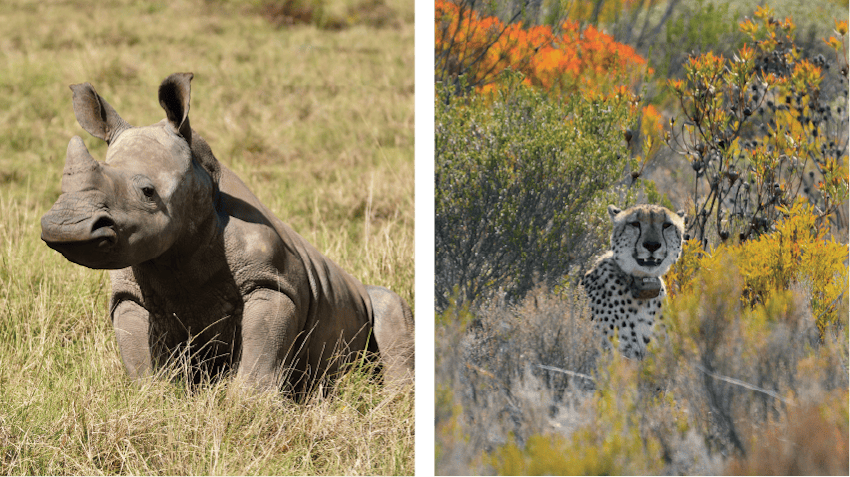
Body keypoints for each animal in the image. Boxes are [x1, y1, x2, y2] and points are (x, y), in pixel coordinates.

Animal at [40, 73, 415, 393]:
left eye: (147, 192)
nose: (66, 227)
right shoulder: (129, 293)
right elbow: (138, 357)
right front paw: (151, 398)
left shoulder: (270, 282)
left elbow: (261, 353)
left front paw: (251, 405)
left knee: (389, 306)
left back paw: (392, 399)